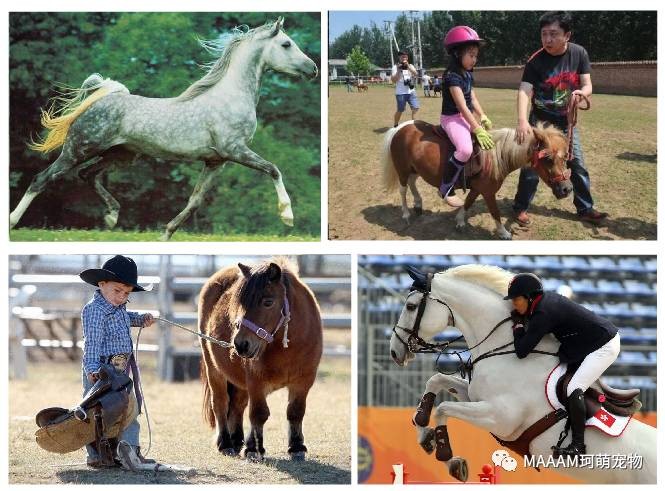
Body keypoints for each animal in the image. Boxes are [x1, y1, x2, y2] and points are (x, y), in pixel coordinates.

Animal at [9, 18, 318, 241]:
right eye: (287, 44)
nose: (313, 68)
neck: (230, 96)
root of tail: (101, 99)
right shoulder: (235, 150)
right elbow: (274, 169)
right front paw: (287, 216)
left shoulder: (216, 161)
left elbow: (194, 201)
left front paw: (166, 234)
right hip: (78, 150)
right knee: (42, 179)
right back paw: (13, 222)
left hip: (120, 155)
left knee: (88, 175)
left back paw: (112, 216)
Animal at [197, 258, 322, 462]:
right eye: (240, 302)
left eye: (268, 302)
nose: (240, 344)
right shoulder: (256, 380)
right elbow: (259, 413)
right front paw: (254, 449)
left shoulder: (304, 380)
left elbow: (295, 412)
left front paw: (296, 447)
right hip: (214, 369)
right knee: (221, 403)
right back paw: (226, 443)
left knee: (237, 405)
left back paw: (237, 440)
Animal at [382, 121, 572, 240]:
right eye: (548, 159)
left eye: (565, 157)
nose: (567, 189)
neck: (497, 156)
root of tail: (399, 129)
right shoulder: (488, 192)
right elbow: (495, 212)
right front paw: (503, 232)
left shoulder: (477, 189)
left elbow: (468, 202)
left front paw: (459, 221)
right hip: (402, 169)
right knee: (403, 189)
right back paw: (406, 213)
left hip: (414, 169)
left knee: (412, 184)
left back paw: (418, 204)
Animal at [390, 266, 652, 484]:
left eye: (410, 306)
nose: (394, 351)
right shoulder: (476, 397)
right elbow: (436, 380)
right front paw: (424, 434)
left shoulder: (501, 418)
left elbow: (443, 408)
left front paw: (450, 459)